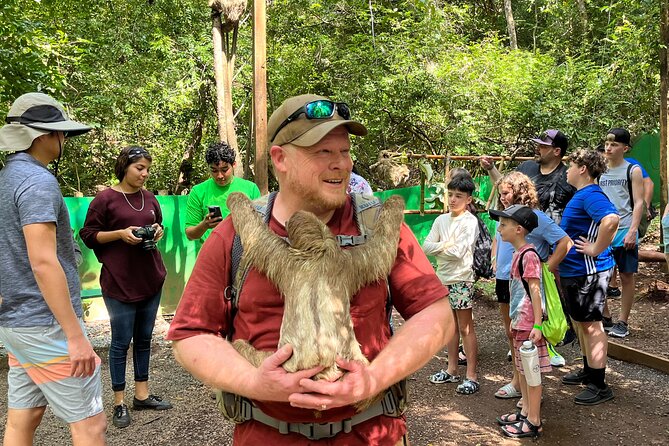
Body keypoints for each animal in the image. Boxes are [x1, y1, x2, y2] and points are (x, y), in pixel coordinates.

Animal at [226, 192, 405, 409]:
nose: (287, 221)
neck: (317, 252)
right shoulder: (348, 262)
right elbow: (381, 248)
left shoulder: (288, 258)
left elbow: (255, 234)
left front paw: (396, 200)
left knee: (240, 347)